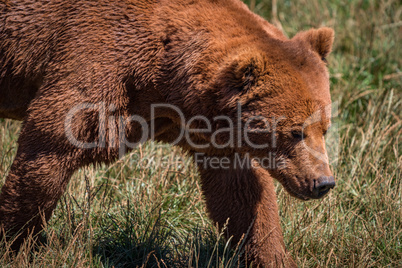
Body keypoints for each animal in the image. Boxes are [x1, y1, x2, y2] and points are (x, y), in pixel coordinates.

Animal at [0, 0, 334, 266]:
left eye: (325, 127)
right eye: (295, 132)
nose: (324, 182)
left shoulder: (206, 129)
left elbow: (242, 196)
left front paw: (273, 256)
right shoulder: (93, 61)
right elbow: (50, 147)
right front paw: (15, 244)